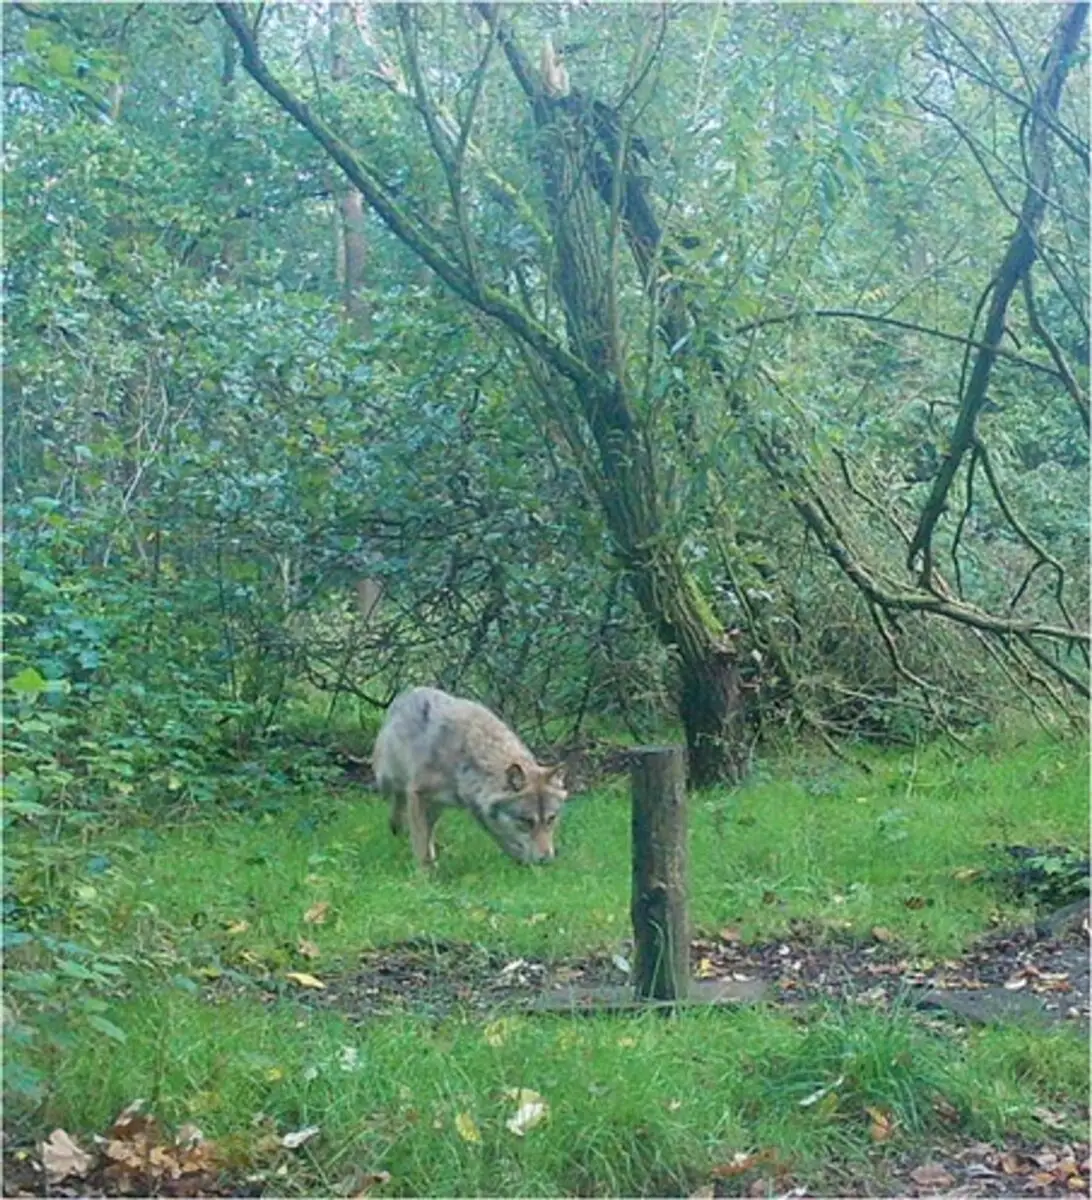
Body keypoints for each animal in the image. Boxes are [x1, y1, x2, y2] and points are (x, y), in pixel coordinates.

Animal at [372, 686, 567, 868]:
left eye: (551, 819)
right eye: (526, 821)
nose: (547, 860)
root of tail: (407, 692)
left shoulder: (479, 810)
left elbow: (505, 839)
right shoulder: (417, 794)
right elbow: (421, 847)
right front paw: (425, 876)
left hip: (436, 807)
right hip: (389, 782)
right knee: (397, 807)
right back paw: (398, 831)